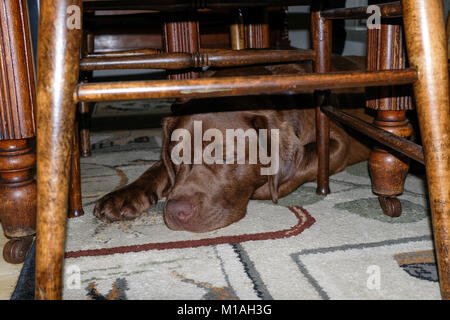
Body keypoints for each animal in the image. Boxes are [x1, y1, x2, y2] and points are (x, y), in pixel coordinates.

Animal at [93, 58, 370, 232]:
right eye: (176, 156)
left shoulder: (338, 143)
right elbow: (155, 168)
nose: (174, 212)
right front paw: (123, 195)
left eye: (225, 156)